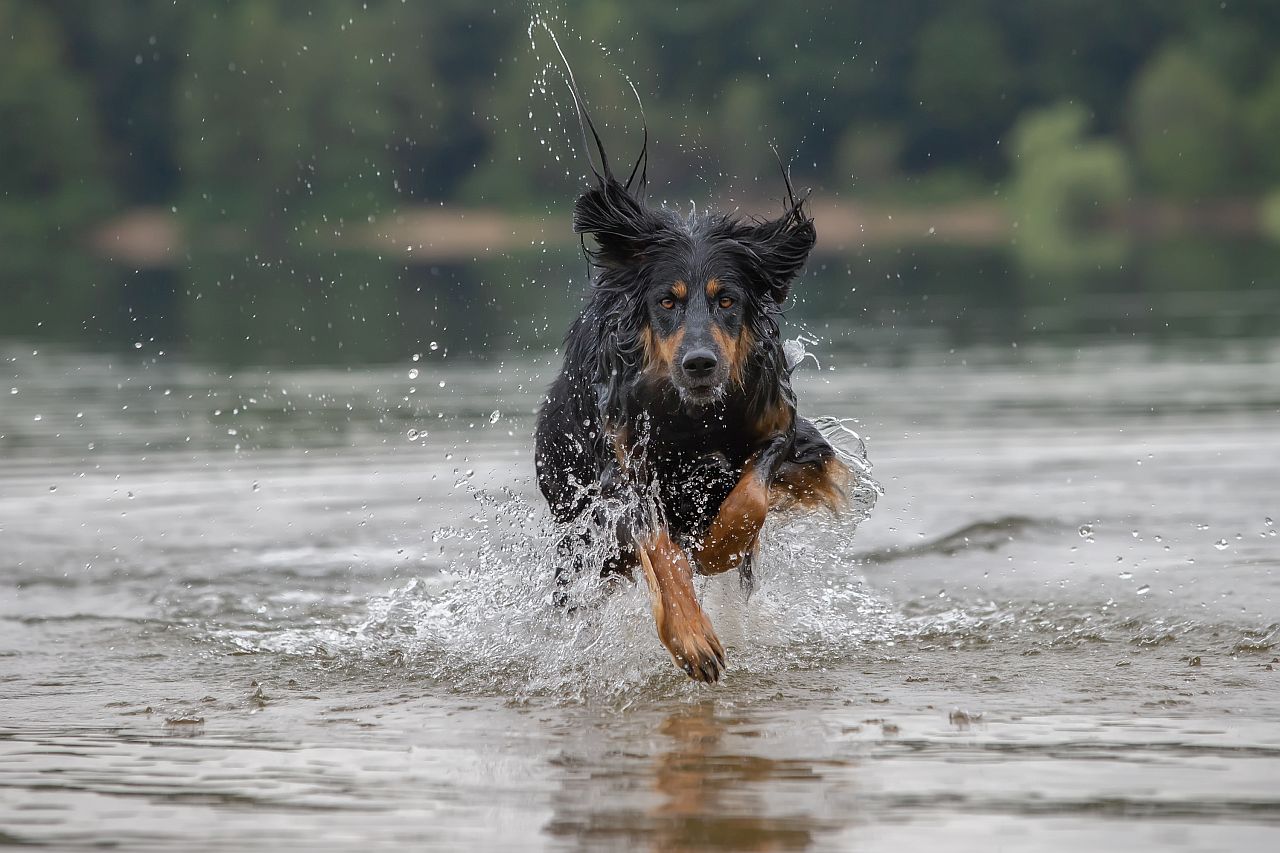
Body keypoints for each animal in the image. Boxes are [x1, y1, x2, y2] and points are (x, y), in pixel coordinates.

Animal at [532, 87, 849, 686]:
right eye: (666, 300)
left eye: (727, 299)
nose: (700, 363)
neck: (690, 415)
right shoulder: (621, 473)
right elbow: (661, 547)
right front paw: (690, 638)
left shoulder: (780, 428)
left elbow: (750, 496)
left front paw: (720, 546)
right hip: (579, 540)